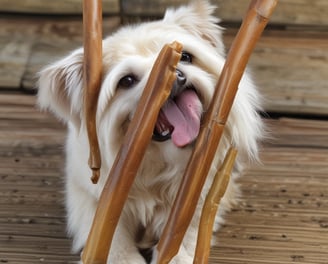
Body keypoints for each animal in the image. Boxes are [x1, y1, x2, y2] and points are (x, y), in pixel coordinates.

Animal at [37, 1, 264, 262]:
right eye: (126, 81)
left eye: (186, 57)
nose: (175, 74)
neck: (158, 162)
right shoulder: (89, 198)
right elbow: (113, 239)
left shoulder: (198, 198)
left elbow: (184, 233)